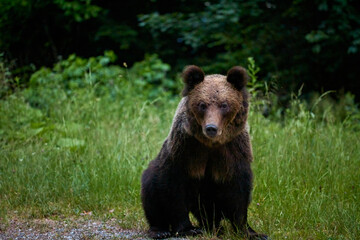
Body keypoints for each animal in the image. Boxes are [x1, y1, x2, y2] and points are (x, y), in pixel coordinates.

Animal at [141, 64, 268, 239]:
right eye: (202, 104)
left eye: (224, 104)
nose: (211, 128)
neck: (211, 144)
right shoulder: (184, 149)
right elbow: (173, 187)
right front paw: (188, 228)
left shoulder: (234, 150)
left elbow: (239, 190)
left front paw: (250, 231)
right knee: (151, 189)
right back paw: (160, 229)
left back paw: (215, 227)